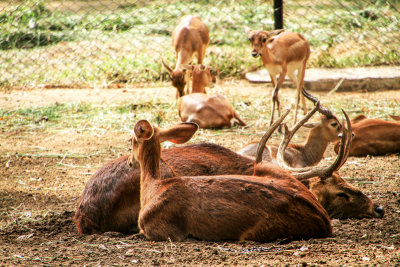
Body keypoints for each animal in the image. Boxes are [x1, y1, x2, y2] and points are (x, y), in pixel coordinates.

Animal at [130, 118, 332, 242]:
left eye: (131, 140)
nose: (131, 161)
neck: (154, 187)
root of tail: (325, 222)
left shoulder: (163, 230)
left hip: (254, 232)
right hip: (265, 168)